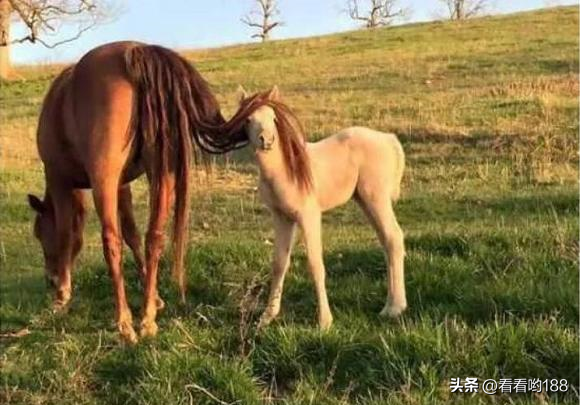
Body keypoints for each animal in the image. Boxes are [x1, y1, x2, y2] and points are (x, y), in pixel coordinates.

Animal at [28, 42, 268, 342]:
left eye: (39, 233)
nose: (50, 280)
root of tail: (135, 51)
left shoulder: (60, 179)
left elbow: (66, 235)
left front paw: (62, 296)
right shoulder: (123, 185)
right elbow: (132, 233)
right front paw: (153, 296)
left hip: (105, 179)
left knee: (111, 241)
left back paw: (125, 323)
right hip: (160, 172)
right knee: (154, 236)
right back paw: (147, 319)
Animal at [240, 86, 408, 328]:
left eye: (274, 118)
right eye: (247, 119)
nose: (266, 140)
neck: (285, 169)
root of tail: (388, 139)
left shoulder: (309, 215)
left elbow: (315, 264)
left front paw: (324, 321)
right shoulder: (282, 217)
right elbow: (279, 263)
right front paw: (267, 317)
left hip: (376, 198)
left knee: (393, 237)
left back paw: (392, 308)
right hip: (366, 200)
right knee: (387, 240)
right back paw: (396, 304)